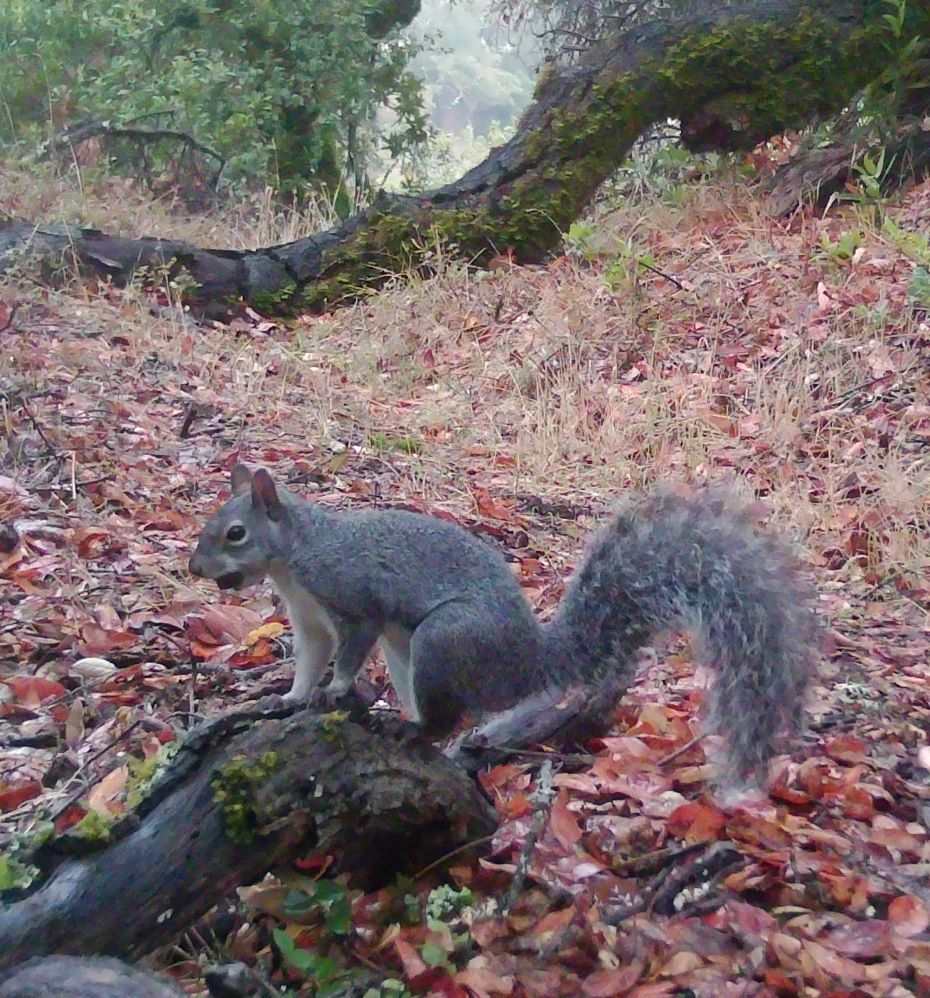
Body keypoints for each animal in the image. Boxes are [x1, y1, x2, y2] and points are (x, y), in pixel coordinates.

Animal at [189, 465, 818, 788]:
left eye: (236, 533)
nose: (194, 568)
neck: (296, 556)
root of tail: (526, 660)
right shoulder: (310, 621)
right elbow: (309, 662)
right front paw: (291, 698)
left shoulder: (353, 602)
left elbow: (347, 653)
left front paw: (338, 689)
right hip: (408, 650)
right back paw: (404, 721)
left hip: (444, 638)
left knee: (449, 718)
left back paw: (413, 730)